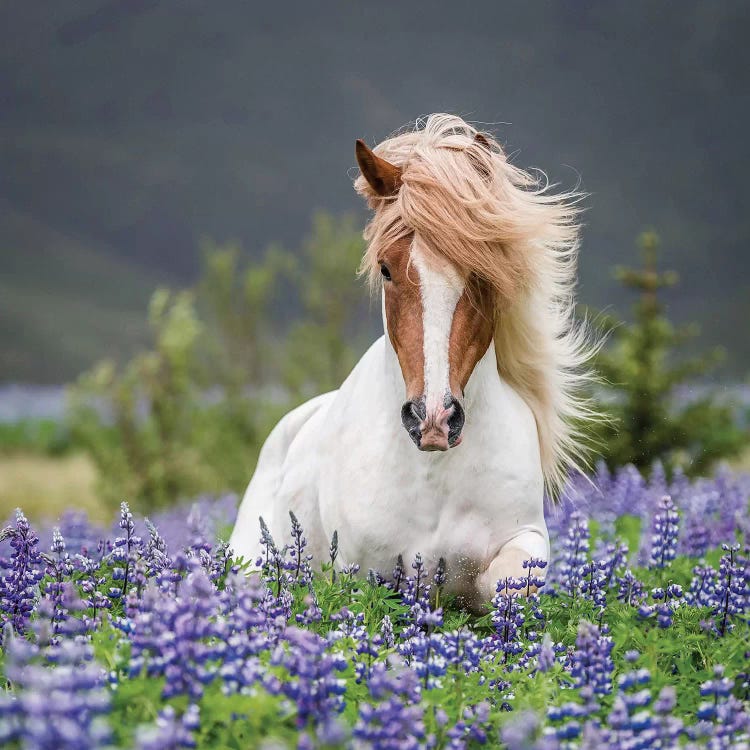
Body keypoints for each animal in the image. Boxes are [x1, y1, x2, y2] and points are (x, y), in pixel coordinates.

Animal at [232, 113, 596, 612]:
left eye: (483, 272)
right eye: (386, 268)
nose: (434, 418)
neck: (433, 475)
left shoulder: (523, 538)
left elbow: (510, 583)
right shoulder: (363, 568)